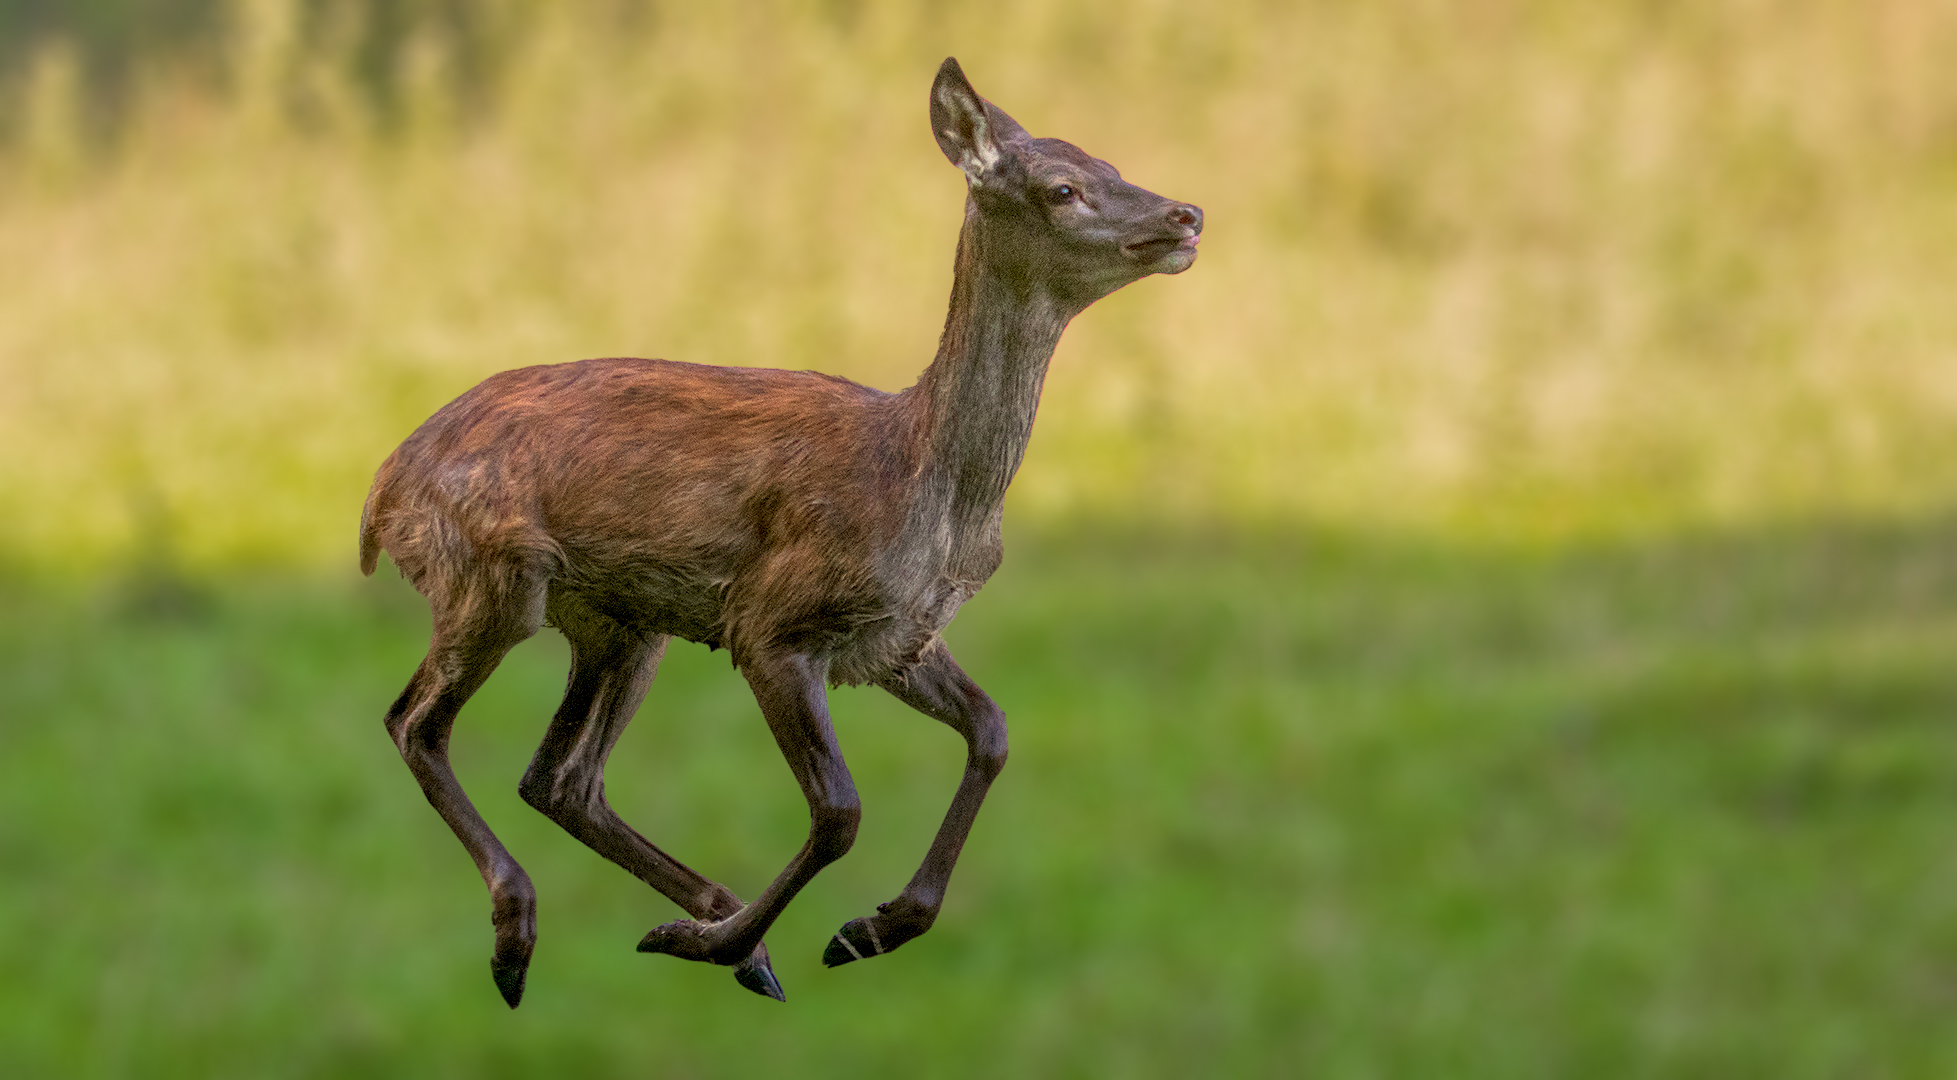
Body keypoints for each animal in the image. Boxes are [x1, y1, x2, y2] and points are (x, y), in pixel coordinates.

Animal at [360, 56, 1197, 1001]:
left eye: (1111, 161)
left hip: (621, 622)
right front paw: (788, 938)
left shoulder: (894, 637)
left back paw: (716, 932)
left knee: (559, 777)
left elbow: (992, 731)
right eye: (1061, 187)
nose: (1185, 214)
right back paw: (537, 937)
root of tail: (383, 489)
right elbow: (839, 810)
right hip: (489, 574)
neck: (924, 483)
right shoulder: (772, 620)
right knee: (416, 723)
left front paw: (870, 928)